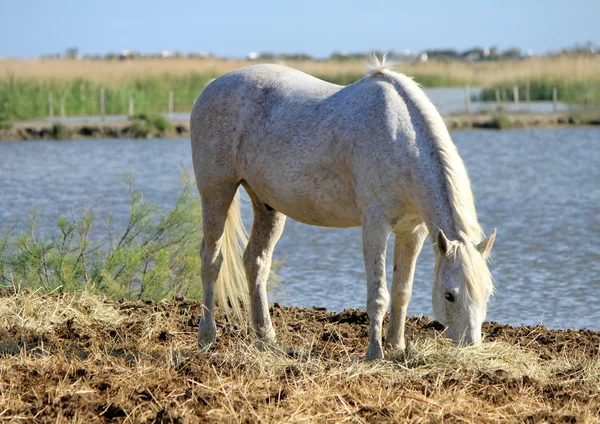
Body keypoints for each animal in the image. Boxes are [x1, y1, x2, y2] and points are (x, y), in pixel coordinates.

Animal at [192, 58, 496, 358]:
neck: (400, 138)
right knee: (211, 259)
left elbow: (402, 290)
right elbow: (378, 294)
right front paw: (375, 352)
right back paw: (207, 337)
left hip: (268, 206)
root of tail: (211, 86)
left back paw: (267, 340)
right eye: (449, 295)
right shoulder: (375, 224)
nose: (472, 347)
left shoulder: (413, 230)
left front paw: (396, 345)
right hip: (216, 191)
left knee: (256, 262)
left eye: (487, 293)